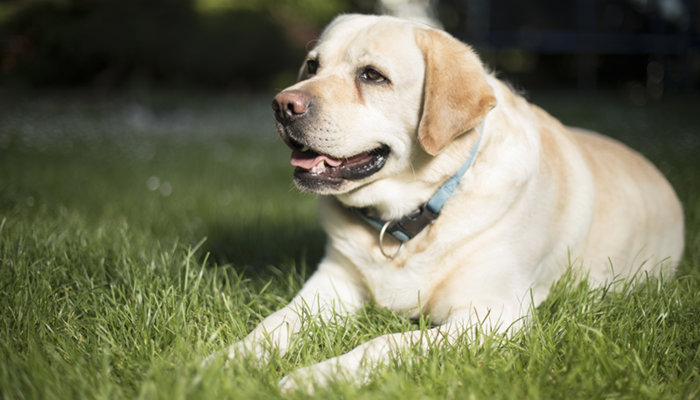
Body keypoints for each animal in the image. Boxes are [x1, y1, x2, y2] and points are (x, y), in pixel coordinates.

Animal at [219, 14, 684, 390]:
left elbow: (385, 343)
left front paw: (317, 376)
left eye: (372, 75)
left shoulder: (492, 316)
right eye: (313, 65)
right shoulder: (329, 285)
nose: (283, 104)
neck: (410, 218)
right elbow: (273, 324)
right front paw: (224, 363)